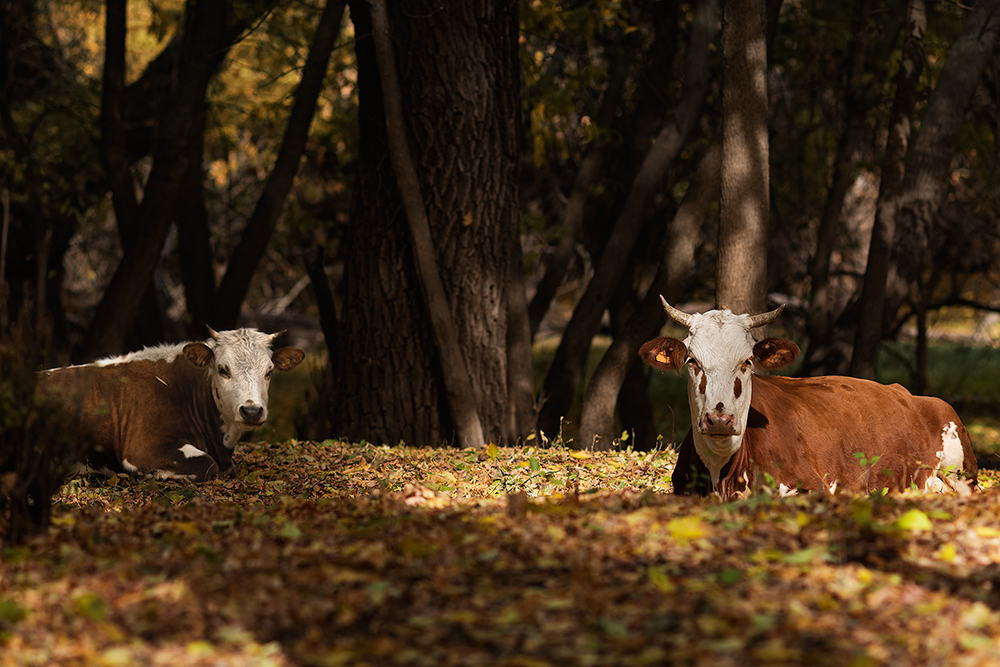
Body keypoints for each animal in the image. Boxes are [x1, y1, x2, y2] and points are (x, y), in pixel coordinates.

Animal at [640, 300, 976, 498]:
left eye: (747, 361)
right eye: (692, 361)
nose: (720, 419)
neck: (721, 473)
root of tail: (905, 391)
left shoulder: (813, 487)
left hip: (960, 472)